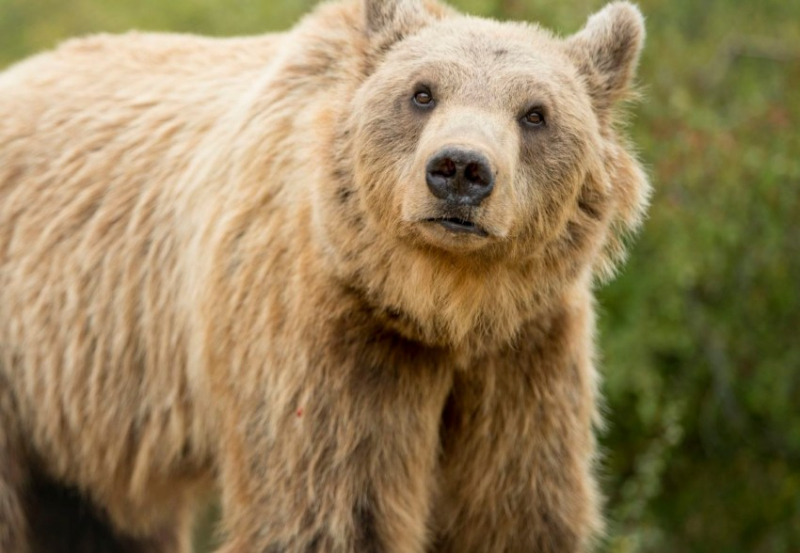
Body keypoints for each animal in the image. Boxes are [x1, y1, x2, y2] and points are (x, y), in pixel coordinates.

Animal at [0, 0, 648, 548]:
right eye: (421, 93)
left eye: (536, 113)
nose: (461, 169)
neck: (445, 306)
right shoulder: (324, 334)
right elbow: (329, 505)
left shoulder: (526, 354)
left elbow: (514, 507)